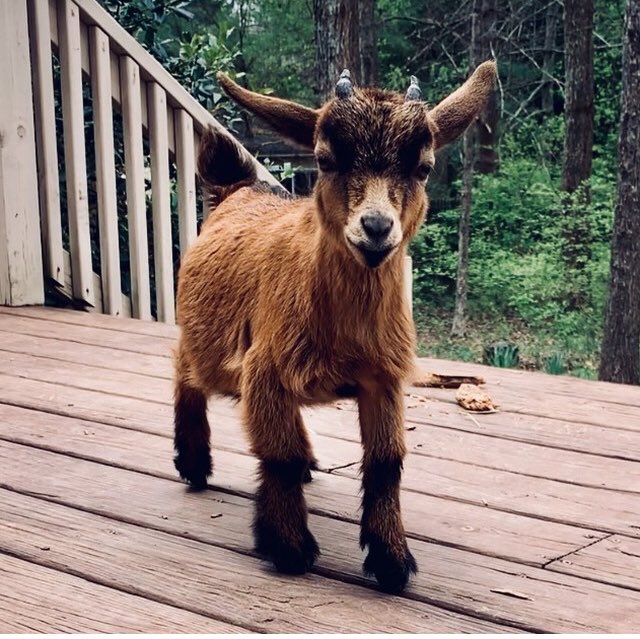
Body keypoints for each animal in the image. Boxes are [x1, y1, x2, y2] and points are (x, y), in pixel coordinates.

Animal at [173, 62, 497, 593]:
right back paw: (193, 461)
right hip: (206, 340)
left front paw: (391, 560)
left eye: (423, 167)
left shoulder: (382, 378)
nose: (376, 228)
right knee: (185, 370)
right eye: (326, 160)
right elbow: (278, 456)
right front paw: (288, 548)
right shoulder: (263, 369)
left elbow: (386, 463)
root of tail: (241, 188)